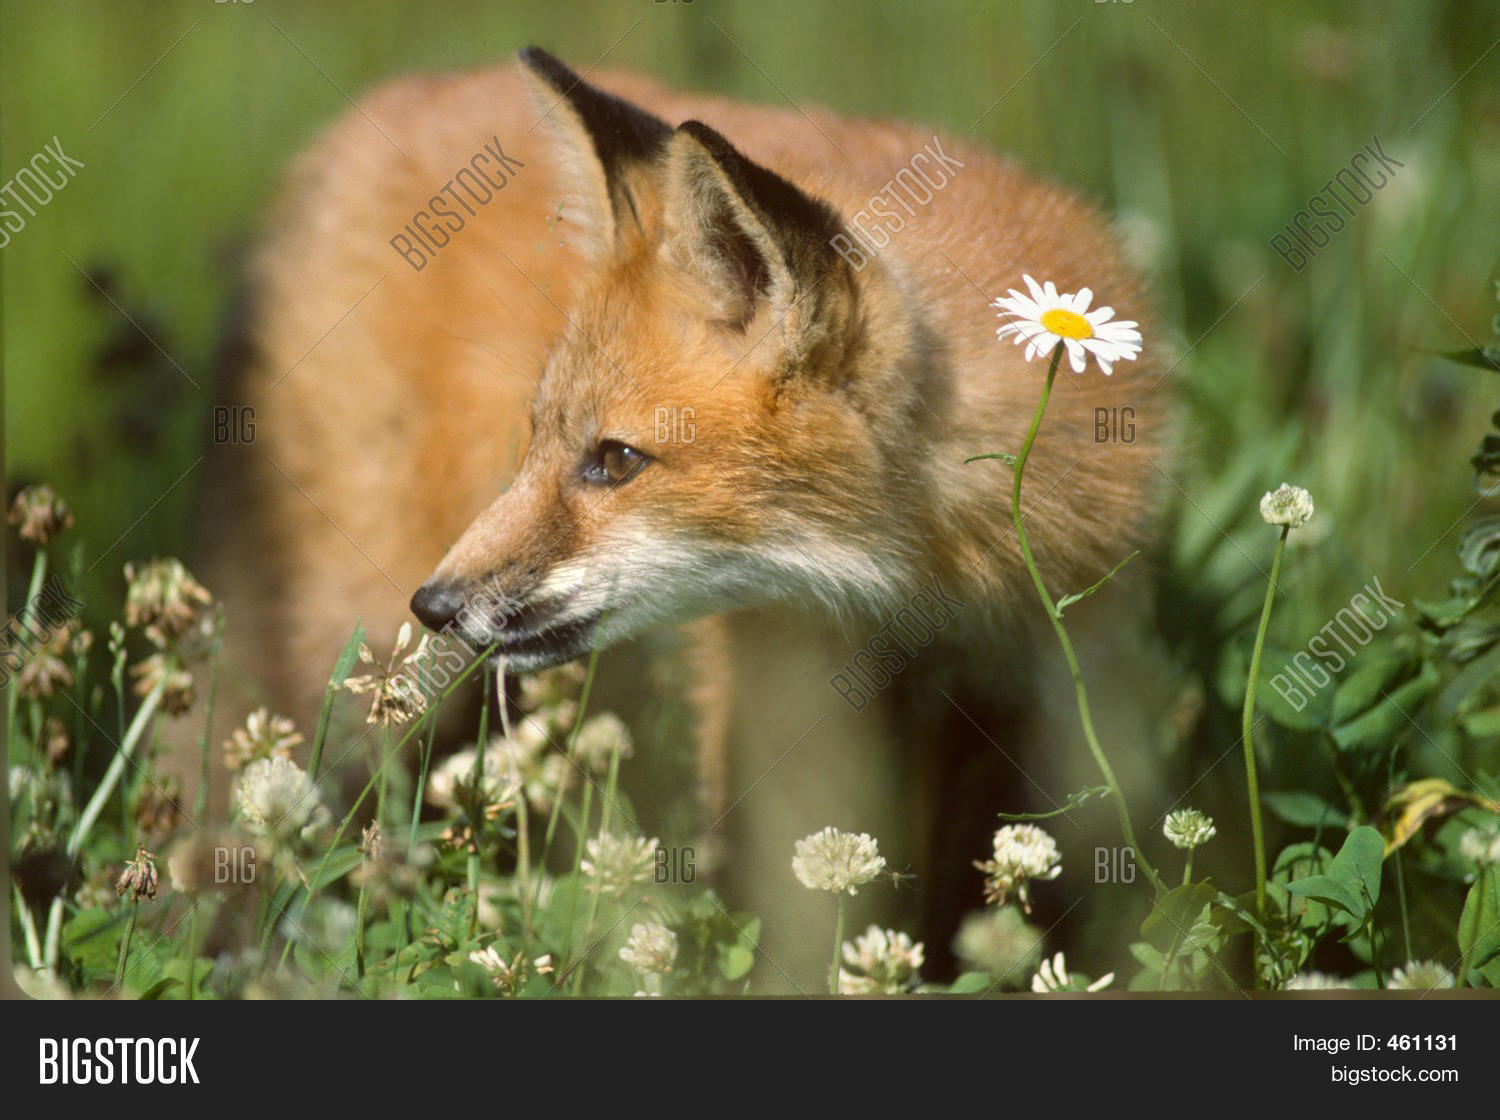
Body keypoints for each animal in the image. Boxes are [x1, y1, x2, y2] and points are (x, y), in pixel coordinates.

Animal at [198, 47, 1167, 981]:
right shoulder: (786, 700)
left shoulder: (1029, 695)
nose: (433, 605)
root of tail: (378, 104)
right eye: (538, 439)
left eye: (617, 460)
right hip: (352, 669)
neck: (920, 584)